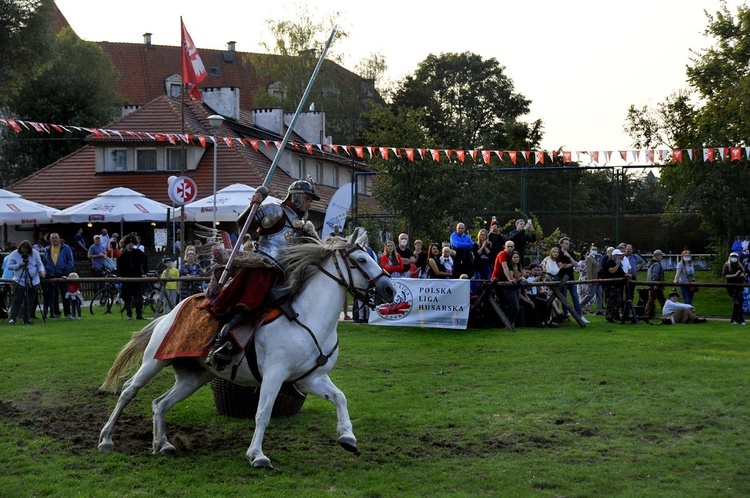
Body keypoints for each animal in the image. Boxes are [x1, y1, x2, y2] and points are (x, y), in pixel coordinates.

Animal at [97, 231, 396, 468]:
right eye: (361, 260)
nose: (390, 289)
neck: (309, 317)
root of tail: (169, 314)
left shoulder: (310, 379)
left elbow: (339, 397)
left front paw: (347, 436)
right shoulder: (275, 374)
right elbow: (263, 413)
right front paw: (257, 455)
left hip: (193, 377)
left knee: (160, 404)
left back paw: (164, 444)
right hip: (153, 362)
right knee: (128, 391)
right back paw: (106, 439)